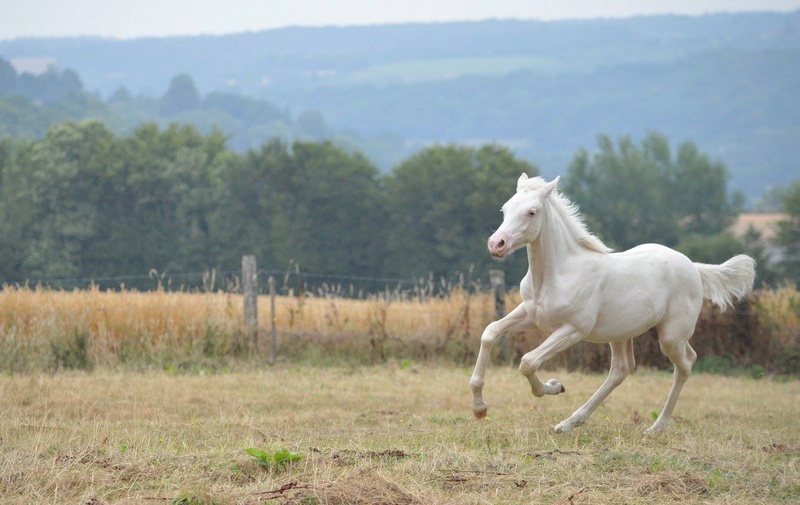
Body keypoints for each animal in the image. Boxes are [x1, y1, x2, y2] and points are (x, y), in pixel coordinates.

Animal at [468, 173, 756, 434]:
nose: (496, 244)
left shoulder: (573, 329)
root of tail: (694, 268)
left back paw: (656, 427)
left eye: (531, 212)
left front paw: (553, 386)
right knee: (622, 369)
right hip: (620, 333)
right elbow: (490, 332)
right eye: (505, 208)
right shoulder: (531, 316)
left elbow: (527, 361)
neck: (557, 274)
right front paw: (480, 409)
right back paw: (569, 423)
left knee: (684, 365)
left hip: (671, 335)